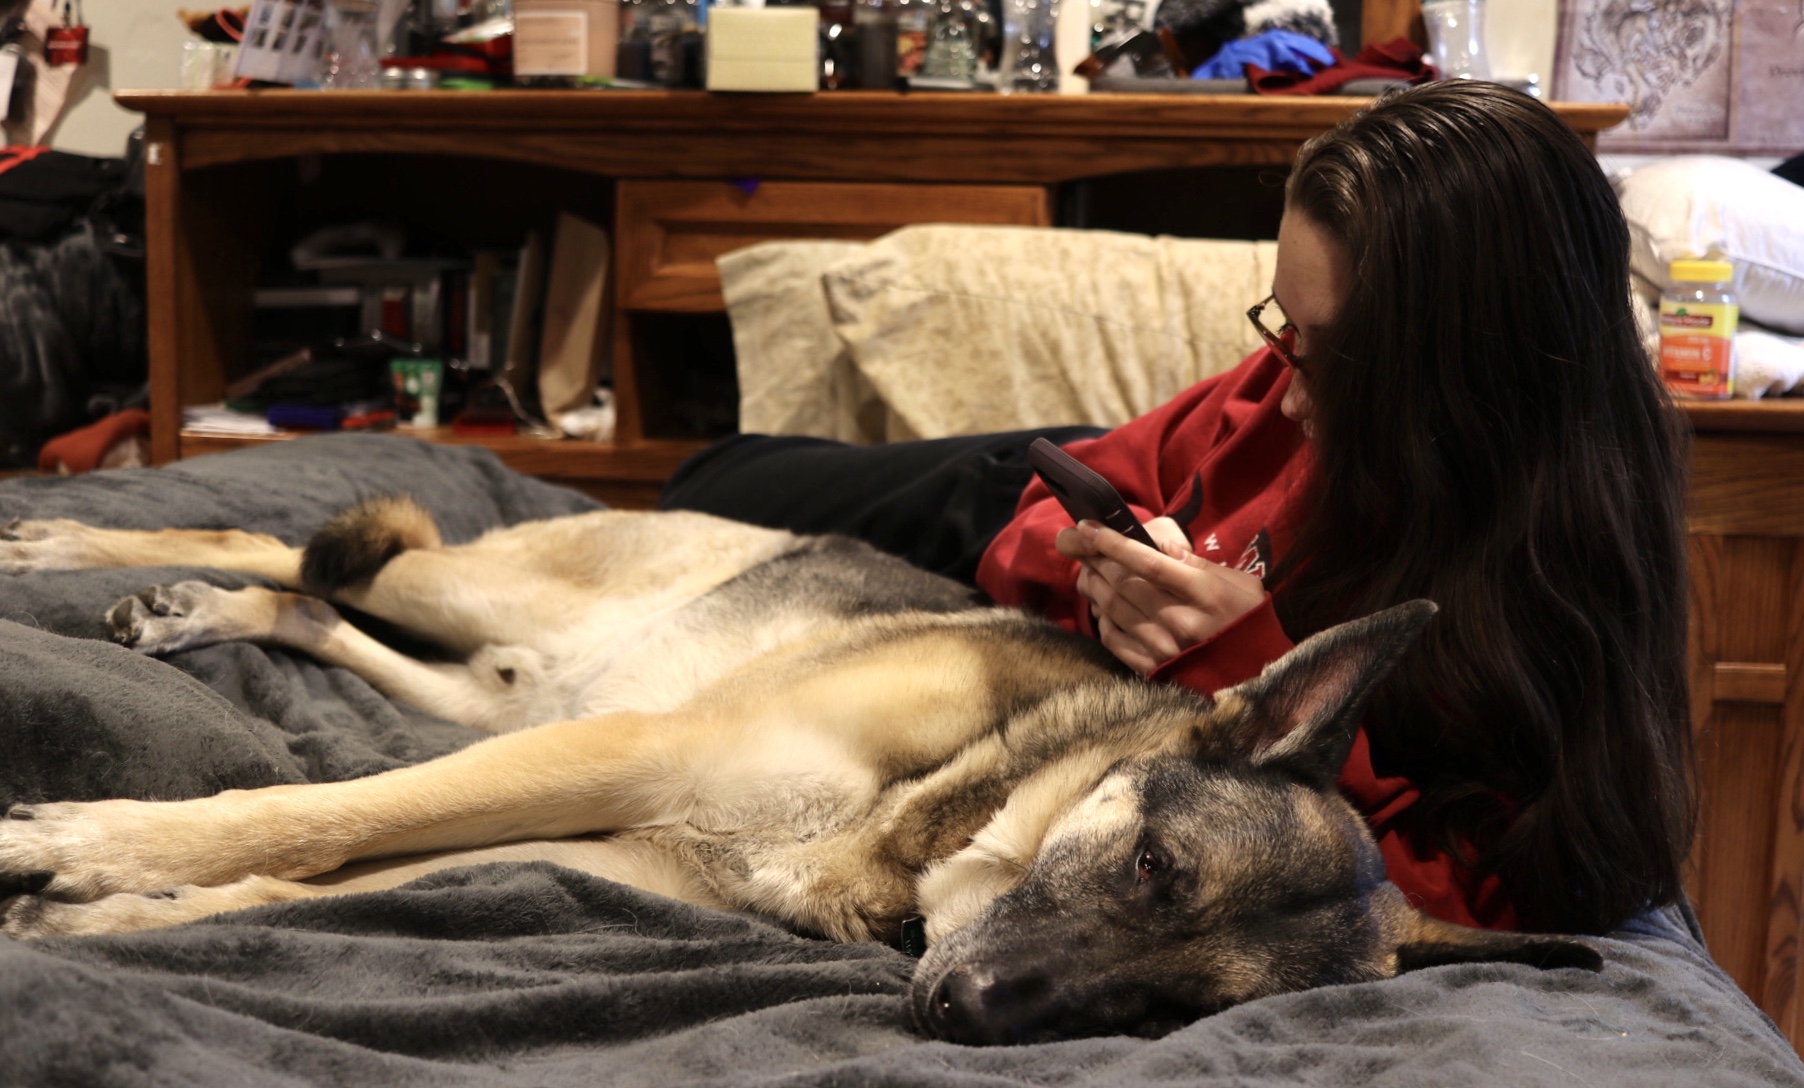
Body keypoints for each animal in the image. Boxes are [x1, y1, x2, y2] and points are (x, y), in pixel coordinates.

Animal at [0, 501, 1601, 1046]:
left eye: (1175, 1011)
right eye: (1153, 866)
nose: (960, 1014)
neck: (956, 803)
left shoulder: (612, 840)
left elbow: (320, 873)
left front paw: (106, 912)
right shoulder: (632, 758)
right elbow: (303, 817)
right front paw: (90, 843)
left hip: (503, 694)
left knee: (321, 609)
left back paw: (189, 614)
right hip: (497, 617)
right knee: (309, 548)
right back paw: (78, 550)